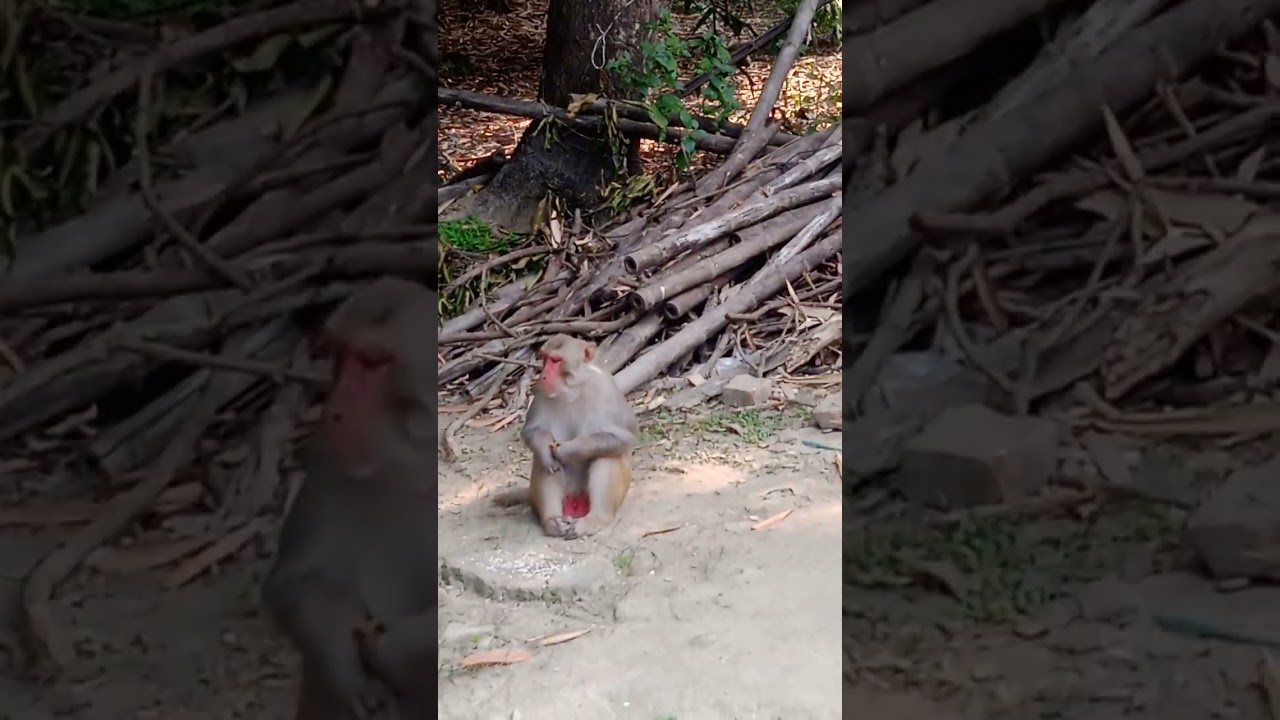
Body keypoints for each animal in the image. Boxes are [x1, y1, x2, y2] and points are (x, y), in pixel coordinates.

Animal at [262, 276, 438, 720]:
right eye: (341, 353)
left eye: (373, 362)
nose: (335, 410)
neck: (413, 468)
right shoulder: (330, 465)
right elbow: (295, 582)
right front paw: (344, 661)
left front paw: (394, 651)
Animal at [514, 334, 638, 539]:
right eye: (545, 358)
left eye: (556, 360)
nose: (543, 375)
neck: (572, 389)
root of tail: (575, 498)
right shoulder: (541, 391)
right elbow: (532, 431)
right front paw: (548, 451)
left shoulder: (605, 388)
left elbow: (624, 438)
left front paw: (567, 450)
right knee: (544, 462)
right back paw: (553, 521)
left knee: (606, 455)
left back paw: (596, 518)